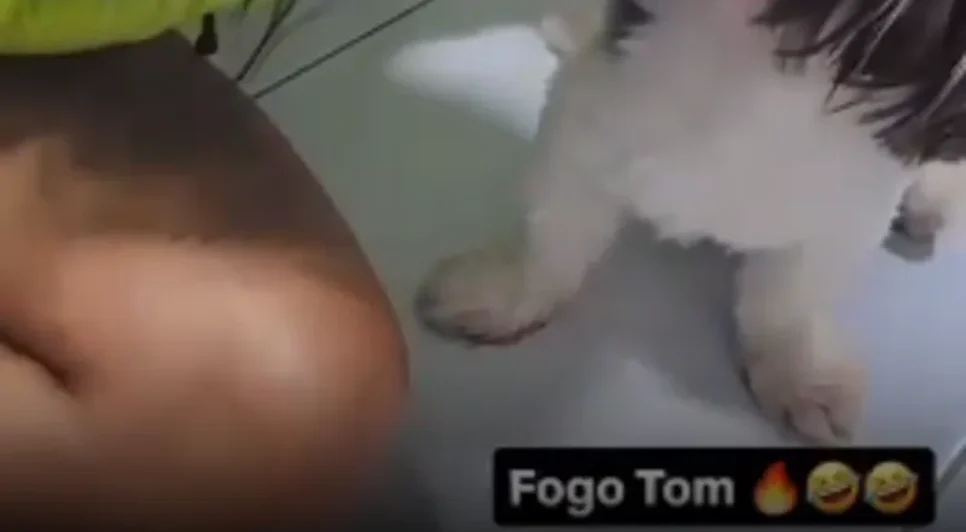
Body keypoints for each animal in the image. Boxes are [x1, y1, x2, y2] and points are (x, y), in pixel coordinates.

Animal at [416, 0, 966, 444]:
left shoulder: (857, 195)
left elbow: (788, 299)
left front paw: (799, 373)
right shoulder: (596, 103)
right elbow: (556, 223)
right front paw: (511, 290)